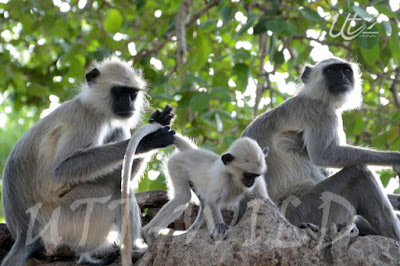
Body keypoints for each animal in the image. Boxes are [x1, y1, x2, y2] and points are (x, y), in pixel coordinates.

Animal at [1, 57, 174, 264]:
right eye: (119, 92)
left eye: (132, 94)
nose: (128, 103)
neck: (92, 106)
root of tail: (24, 232)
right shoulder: (87, 121)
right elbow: (62, 169)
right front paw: (148, 140)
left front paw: (159, 120)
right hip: (65, 220)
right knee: (115, 188)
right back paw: (134, 250)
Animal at [142, 136, 270, 242]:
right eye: (248, 175)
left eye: (255, 176)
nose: (251, 182)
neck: (234, 177)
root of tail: (191, 151)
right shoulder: (222, 176)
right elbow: (212, 202)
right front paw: (220, 227)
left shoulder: (257, 182)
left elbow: (263, 199)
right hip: (176, 164)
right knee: (184, 196)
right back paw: (147, 234)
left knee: (201, 202)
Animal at [241, 56, 400, 241]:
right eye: (331, 71)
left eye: (346, 71)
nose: (342, 78)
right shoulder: (320, 112)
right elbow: (323, 156)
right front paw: (396, 159)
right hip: (305, 212)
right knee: (360, 174)